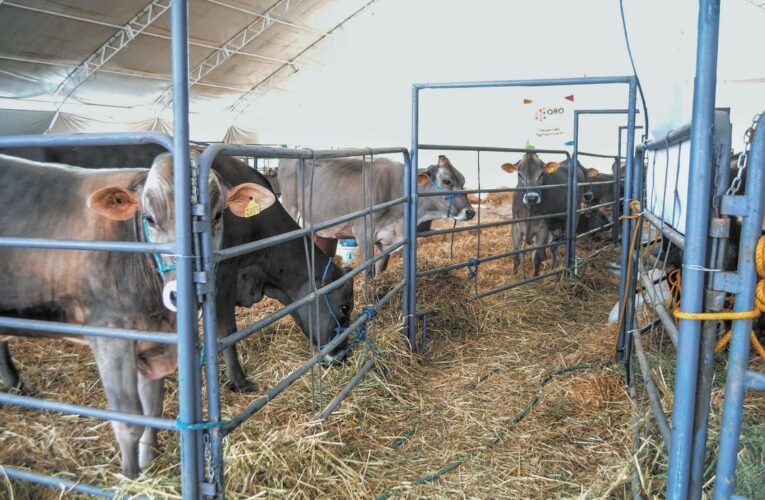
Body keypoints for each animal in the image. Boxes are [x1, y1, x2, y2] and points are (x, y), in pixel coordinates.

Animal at [0, 151, 274, 476]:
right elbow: (128, 420)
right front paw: (131, 477)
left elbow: (152, 407)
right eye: (149, 219)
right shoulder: (111, 338)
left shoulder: (155, 342)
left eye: (217, 216)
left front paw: (148, 461)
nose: (180, 294)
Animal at [278, 155, 474, 276]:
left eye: (463, 180)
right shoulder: (363, 233)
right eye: (447, 181)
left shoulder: (387, 240)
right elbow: (368, 272)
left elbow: (381, 270)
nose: (470, 212)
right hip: (290, 208)